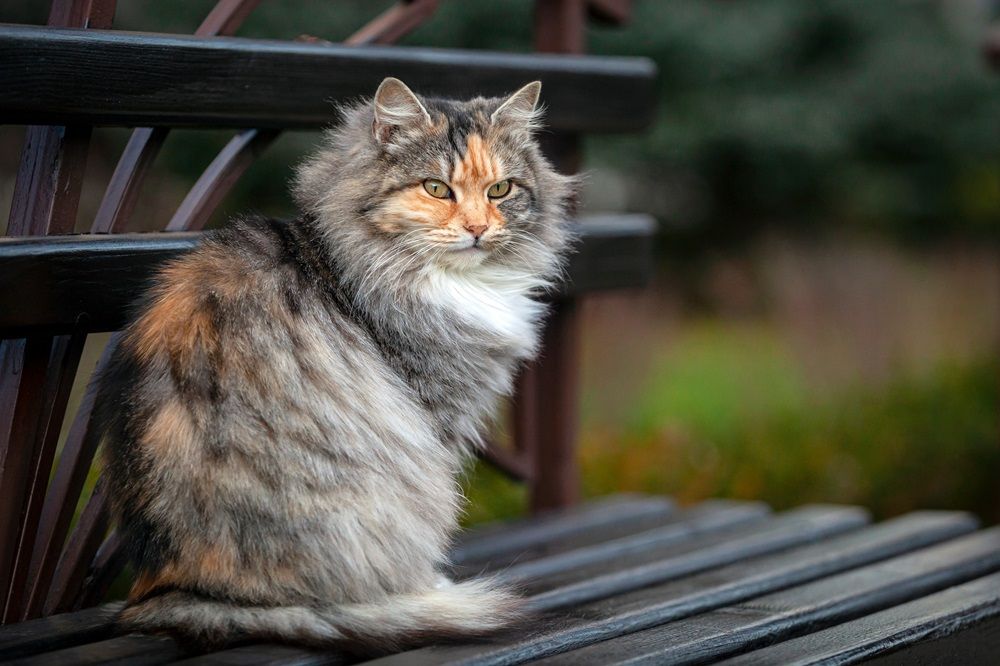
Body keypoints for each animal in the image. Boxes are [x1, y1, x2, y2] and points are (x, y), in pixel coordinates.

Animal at [94, 75, 576, 652]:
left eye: (500, 190)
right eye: (437, 189)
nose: (479, 229)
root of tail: (179, 588)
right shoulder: (435, 417)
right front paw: (431, 583)